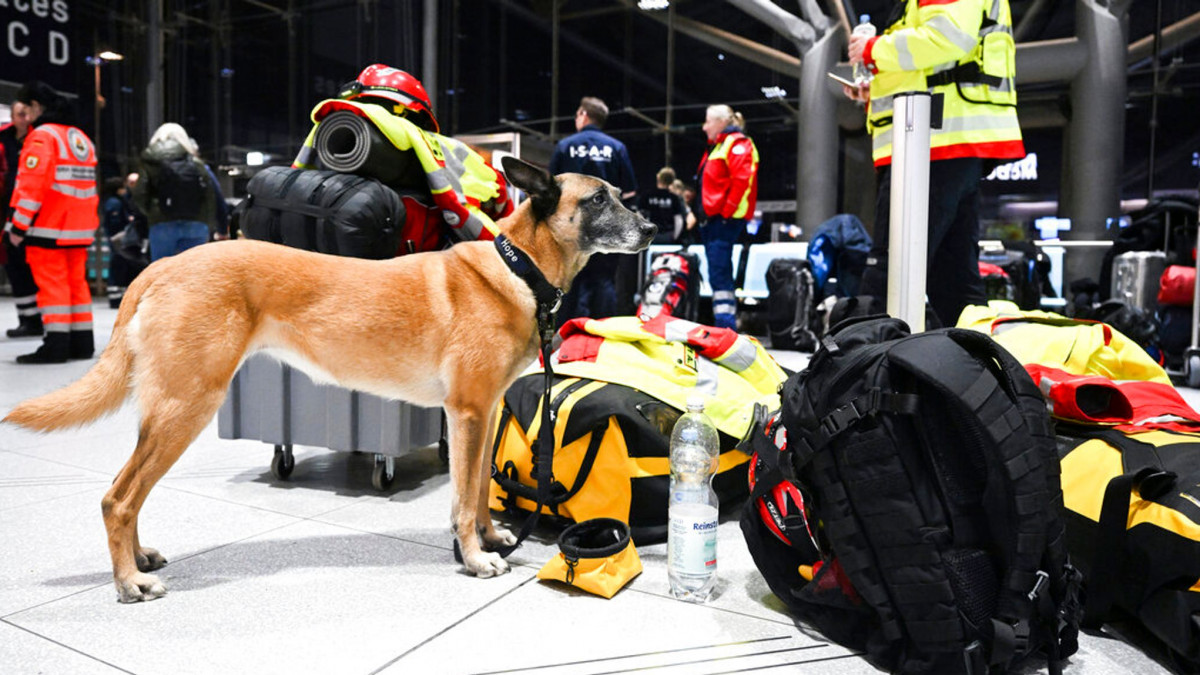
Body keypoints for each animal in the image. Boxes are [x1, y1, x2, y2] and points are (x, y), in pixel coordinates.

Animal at [2, 157, 657, 598]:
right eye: (598, 200)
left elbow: (475, 494)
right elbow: (460, 498)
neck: (519, 267)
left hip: (168, 414)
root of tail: (160, 266)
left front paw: (493, 538)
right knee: (118, 498)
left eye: (618, 196)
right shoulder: (467, 414)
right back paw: (128, 582)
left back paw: (138, 562)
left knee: (128, 496)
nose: (651, 230)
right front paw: (473, 558)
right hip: (184, 409)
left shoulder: (485, 412)